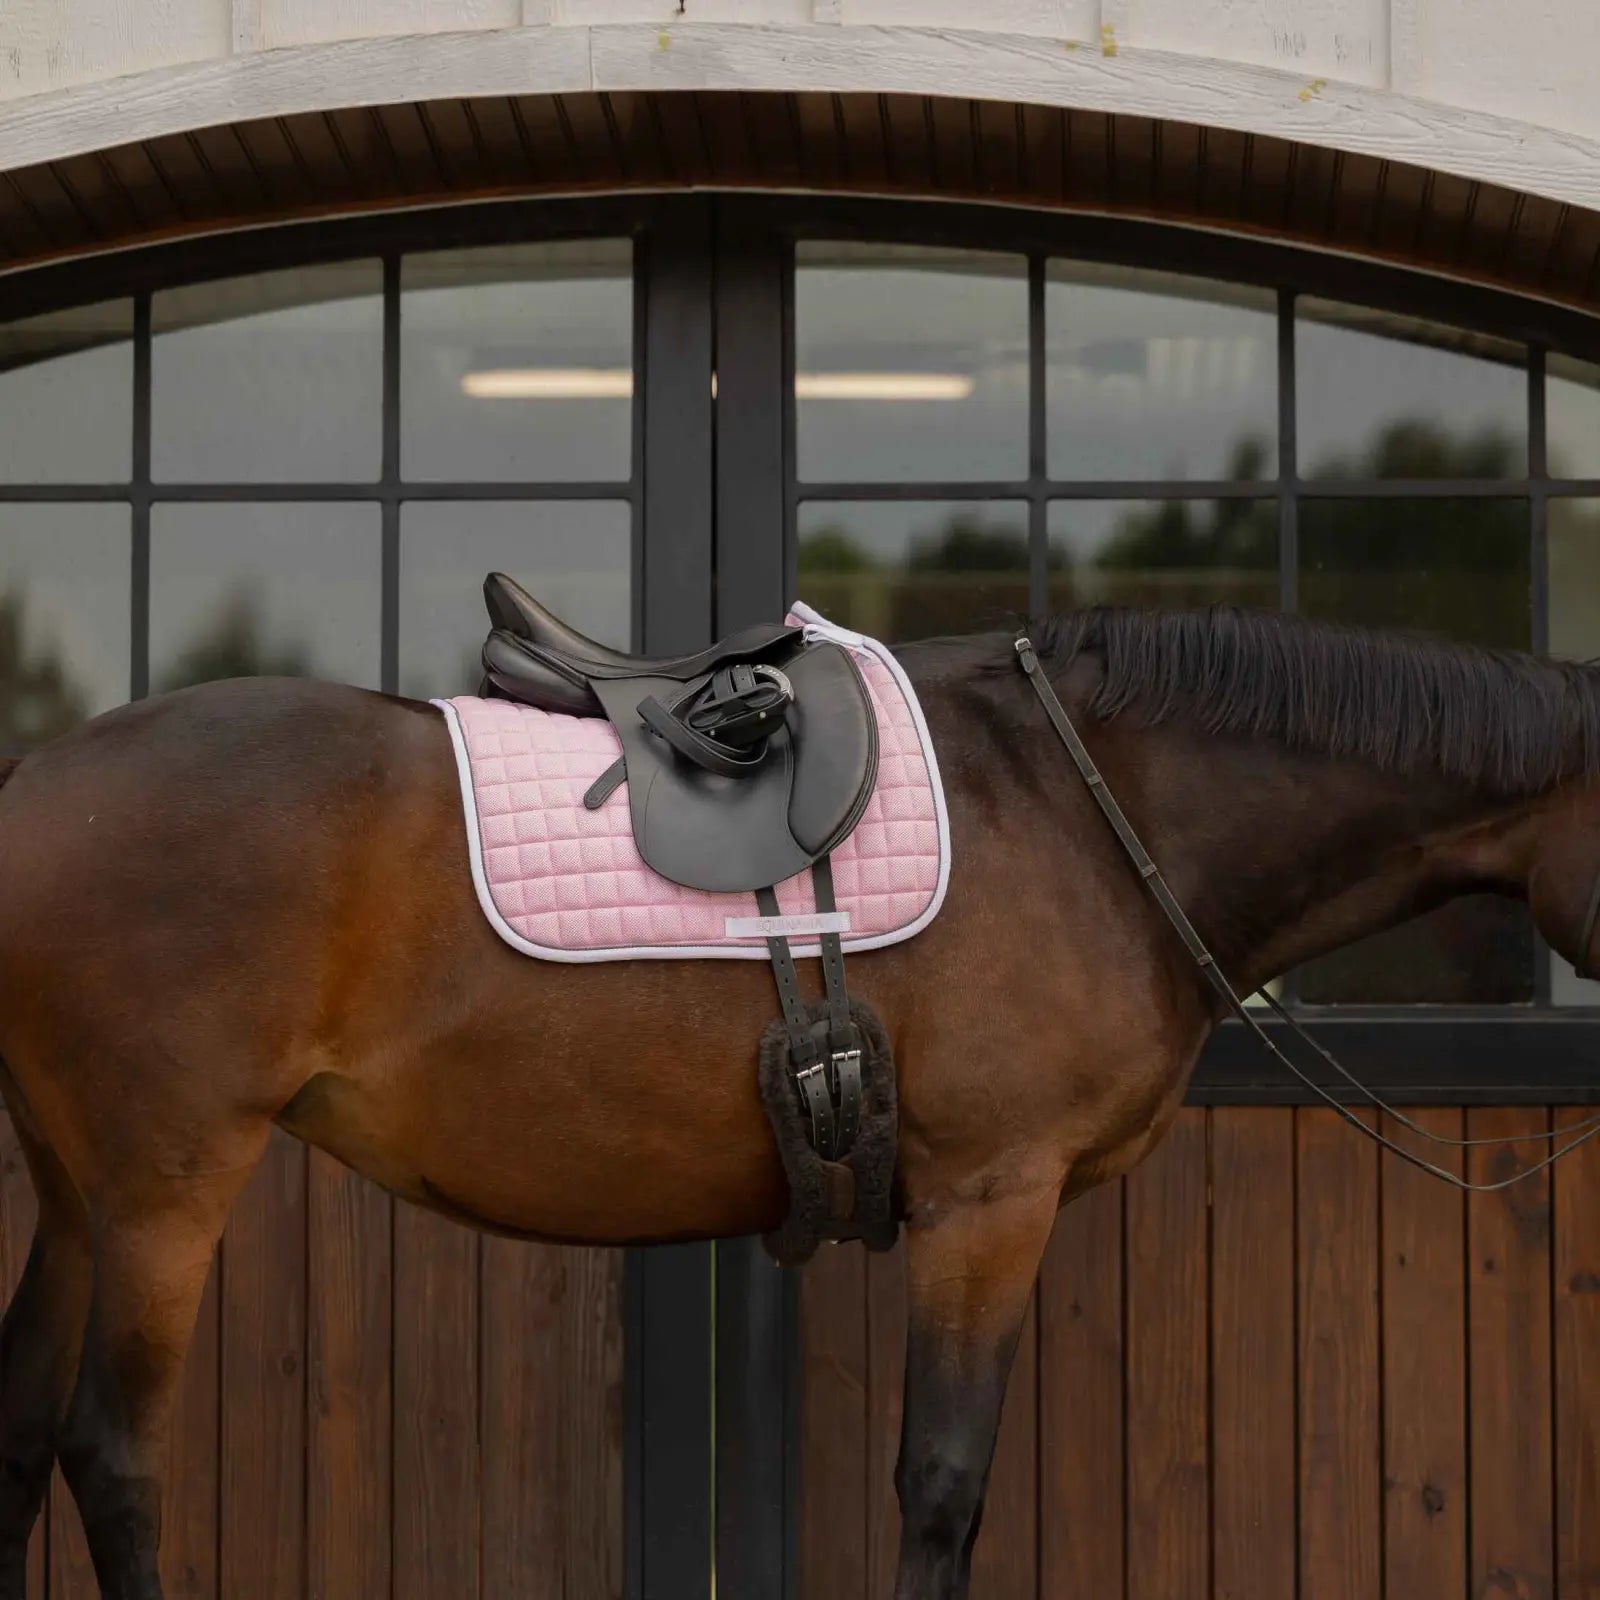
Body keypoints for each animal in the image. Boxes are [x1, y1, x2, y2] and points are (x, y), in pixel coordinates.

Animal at [1, 603, 1598, 1600]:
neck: (1088, 806)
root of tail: (30, 787)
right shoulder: (989, 1203)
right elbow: (943, 1482)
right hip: (161, 1189)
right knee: (112, 1455)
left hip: (79, 1198)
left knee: (21, 1442)